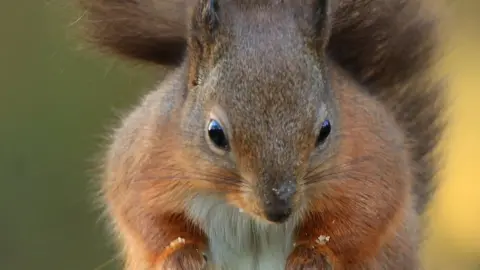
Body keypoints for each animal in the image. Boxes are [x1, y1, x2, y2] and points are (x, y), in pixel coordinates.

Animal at [79, 0, 446, 268]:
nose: (278, 208)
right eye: (215, 134)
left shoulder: (371, 159)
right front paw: (180, 255)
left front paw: (314, 255)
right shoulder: (143, 158)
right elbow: (145, 218)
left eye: (325, 130)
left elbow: (364, 214)